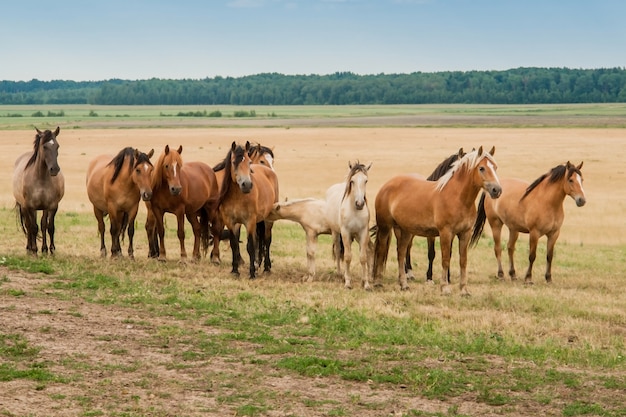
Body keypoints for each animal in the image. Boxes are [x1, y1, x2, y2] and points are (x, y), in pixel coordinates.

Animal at [11, 125, 64, 255]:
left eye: (57, 146)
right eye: (44, 146)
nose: (54, 169)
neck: (41, 179)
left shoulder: (52, 206)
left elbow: (49, 227)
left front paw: (51, 250)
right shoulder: (30, 207)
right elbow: (33, 228)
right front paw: (34, 250)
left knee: (42, 224)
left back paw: (44, 249)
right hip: (24, 207)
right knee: (28, 225)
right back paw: (29, 248)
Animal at [217, 141, 280, 278]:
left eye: (249, 162)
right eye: (234, 162)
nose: (247, 185)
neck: (237, 196)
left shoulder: (250, 221)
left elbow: (251, 245)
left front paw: (252, 273)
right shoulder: (231, 222)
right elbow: (234, 244)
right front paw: (235, 270)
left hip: (268, 220)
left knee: (267, 240)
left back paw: (266, 268)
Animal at [370, 145, 502, 292]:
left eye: (495, 167)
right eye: (482, 168)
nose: (497, 190)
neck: (457, 198)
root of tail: (387, 185)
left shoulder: (465, 233)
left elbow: (463, 261)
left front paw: (463, 290)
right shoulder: (445, 233)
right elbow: (444, 258)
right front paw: (444, 287)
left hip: (404, 230)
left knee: (401, 252)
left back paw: (404, 284)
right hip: (385, 227)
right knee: (381, 251)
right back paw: (378, 282)